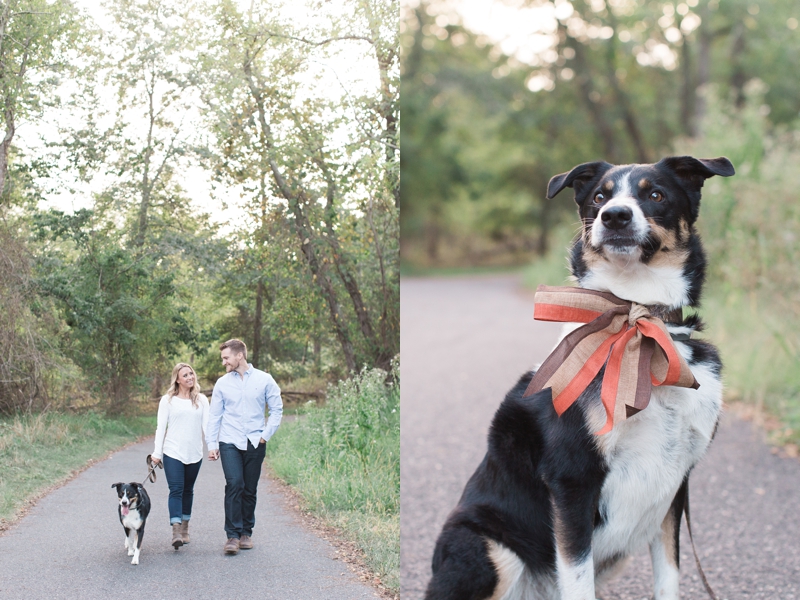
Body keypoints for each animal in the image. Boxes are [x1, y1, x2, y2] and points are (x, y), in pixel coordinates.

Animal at [428, 156, 736, 600]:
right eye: (600, 197)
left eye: (655, 194)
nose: (615, 216)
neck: (637, 327)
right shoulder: (572, 479)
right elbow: (577, 577)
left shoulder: (675, 486)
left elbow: (669, 575)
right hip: (489, 545)